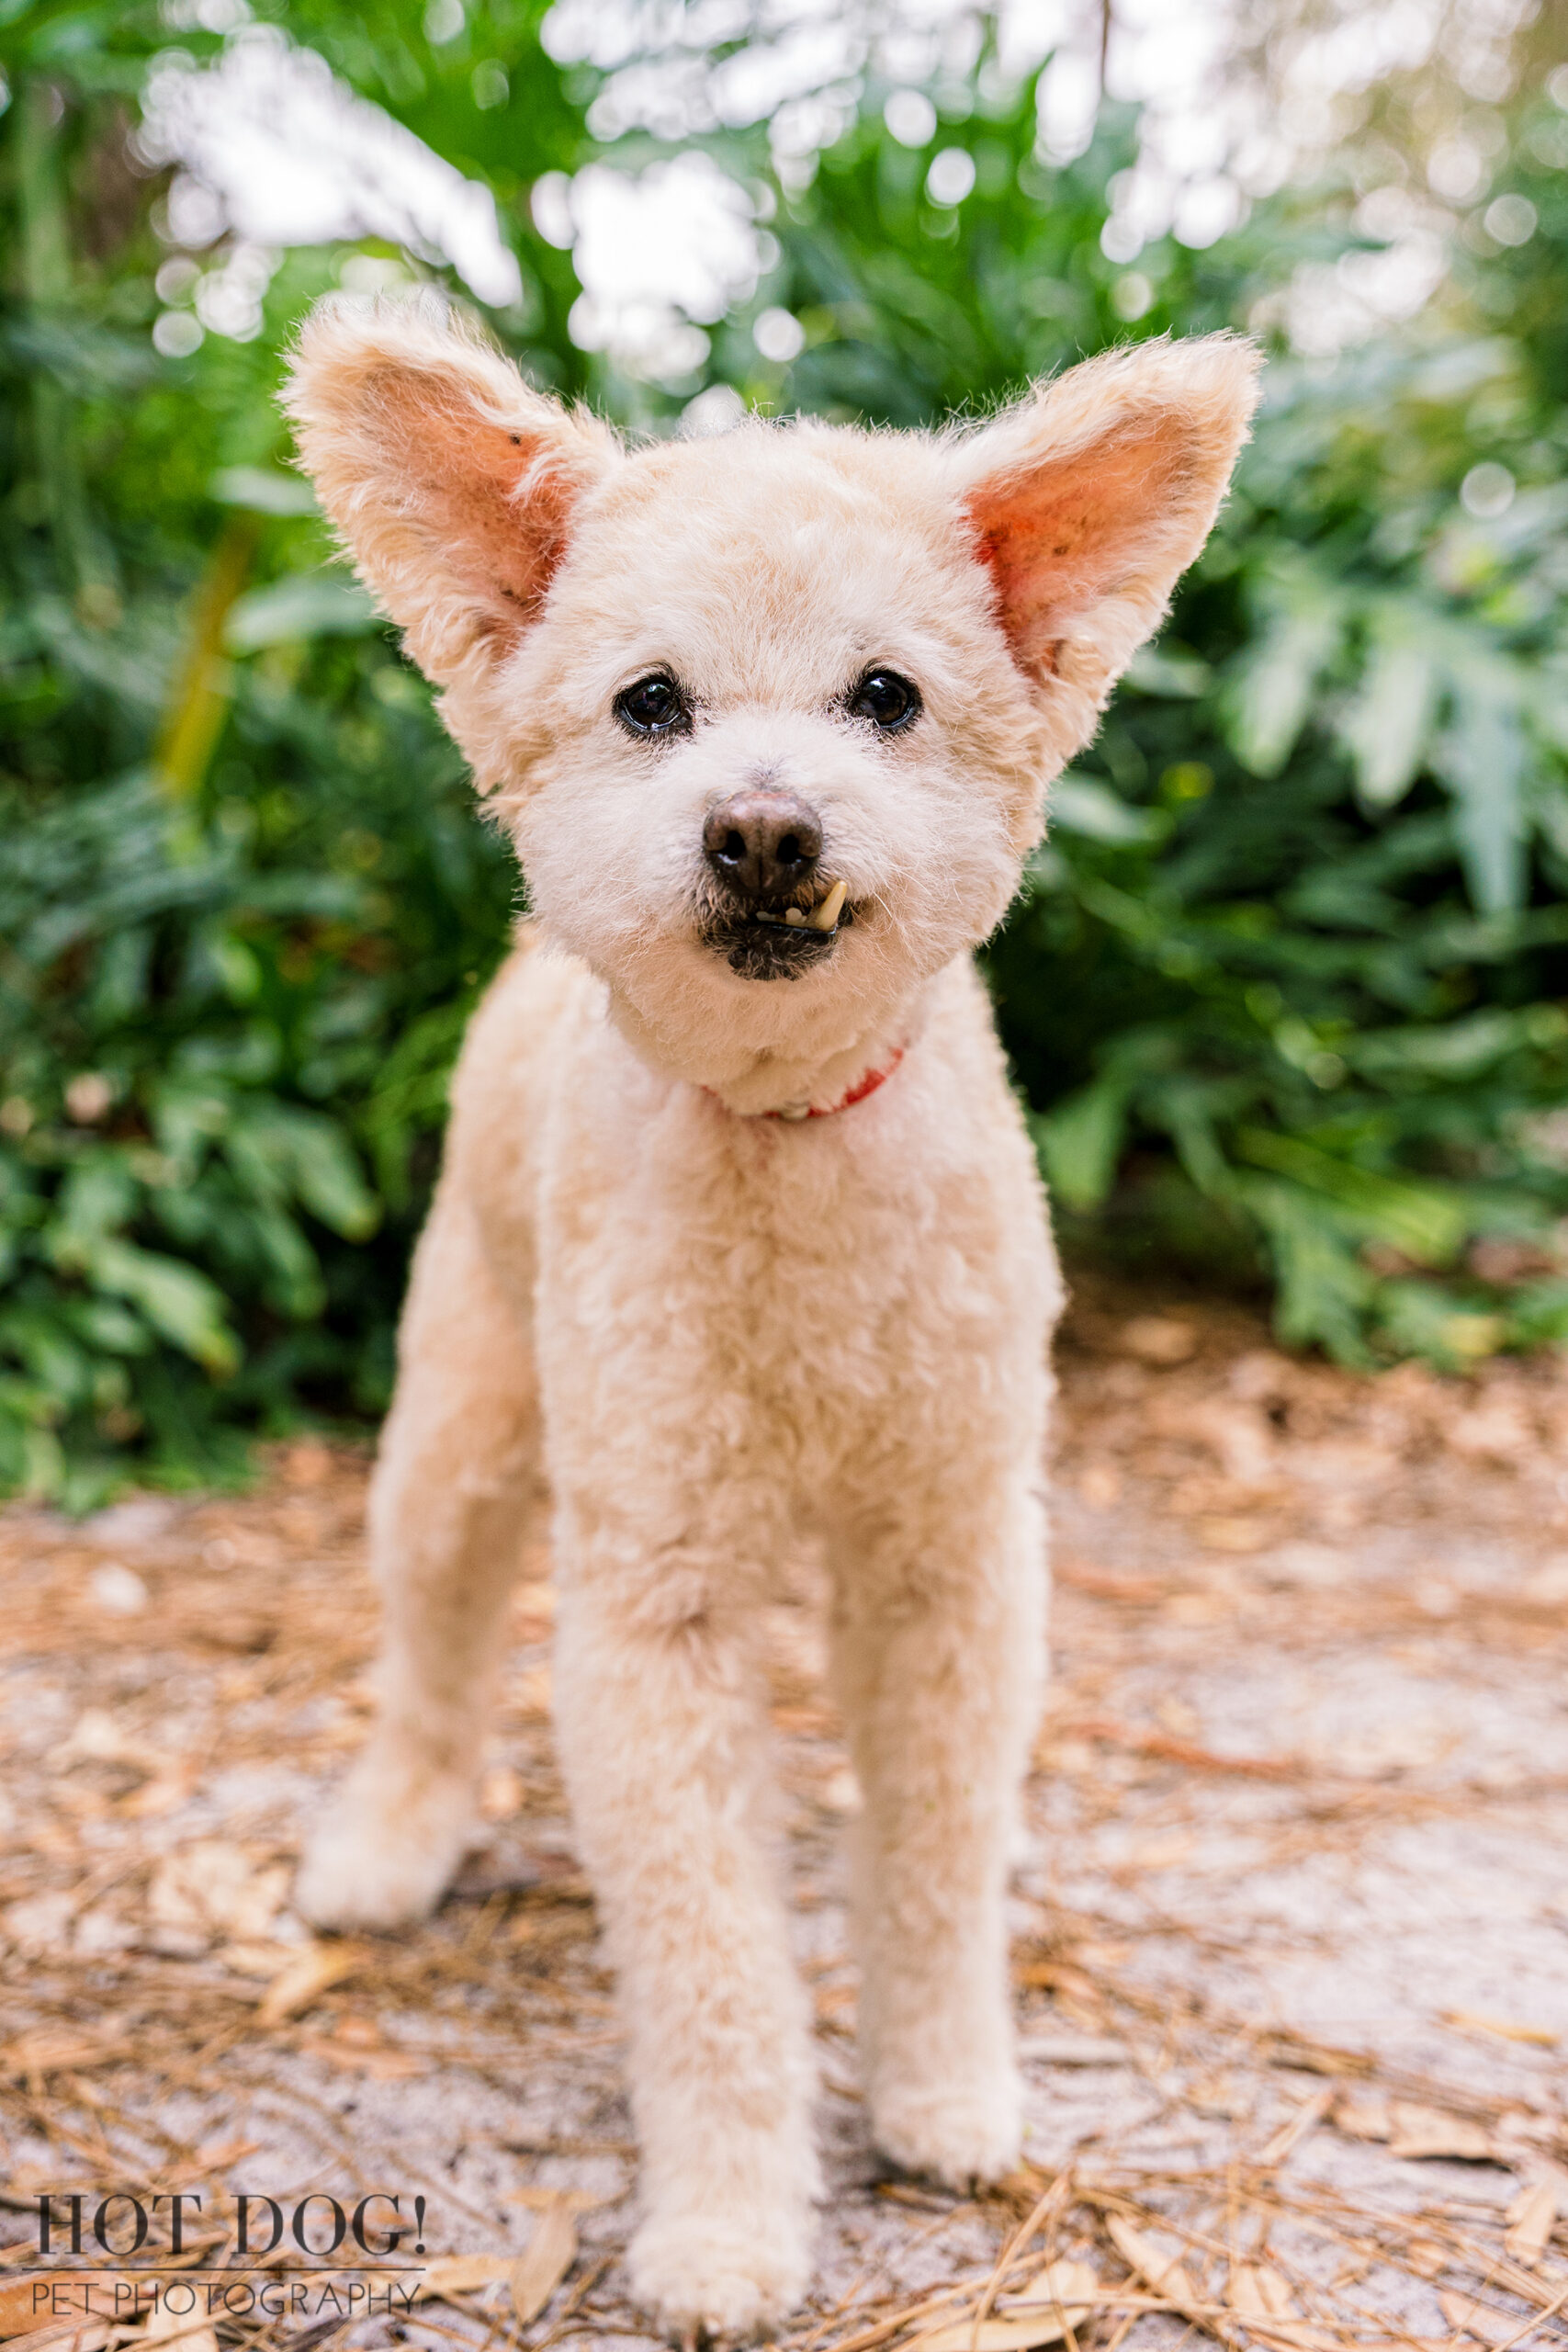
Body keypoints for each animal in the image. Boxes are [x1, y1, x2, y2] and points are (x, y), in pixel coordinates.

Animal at [285, 303, 1259, 2342]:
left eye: (884, 695)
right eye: (650, 704)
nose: (758, 828)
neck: (791, 1138)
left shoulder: (955, 1554)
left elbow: (933, 1870)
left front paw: (944, 2092)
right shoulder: (653, 1596)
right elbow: (710, 1953)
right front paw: (729, 2228)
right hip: (461, 1419)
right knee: (430, 1659)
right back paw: (387, 1843)